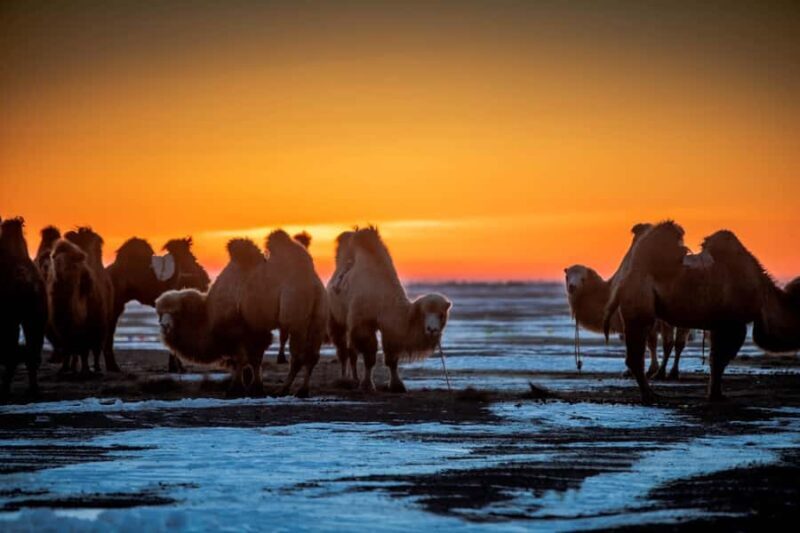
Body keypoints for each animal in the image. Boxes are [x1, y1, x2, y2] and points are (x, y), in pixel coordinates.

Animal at [105, 236, 210, 372]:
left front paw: (177, 367)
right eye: (192, 258)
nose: (206, 280)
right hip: (115, 307)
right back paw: (113, 367)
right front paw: (175, 368)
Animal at [156, 230, 327, 397]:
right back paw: (300, 390)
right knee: (312, 356)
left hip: (295, 316)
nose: (164, 325)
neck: (209, 313)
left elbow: (240, 359)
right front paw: (257, 389)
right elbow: (256, 359)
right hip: (317, 320)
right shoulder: (256, 329)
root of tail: (314, 284)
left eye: (176, 313)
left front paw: (234, 389)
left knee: (298, 356)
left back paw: (287, 390)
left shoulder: (236, 329)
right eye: (160, 313)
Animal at [327, 227, 452, 393]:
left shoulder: (389, 327)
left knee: (351, 352)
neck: (383, 297)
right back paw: (344, 379)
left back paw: (354, 379)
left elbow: (392, 359)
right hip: (336, 318)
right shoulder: (363, 323)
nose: (432, 329)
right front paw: (367, 385)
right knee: (343, 350)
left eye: (441, 315)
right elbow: (370, 357)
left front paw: (397, 385)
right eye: (424, 313)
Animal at [565, 223, 690, 380]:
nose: (572, 287)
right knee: (679, 343)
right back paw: (672, 372)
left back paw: (663, 373)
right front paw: (647, 370)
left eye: (583, 279)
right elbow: (648, 343)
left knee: (671, 342)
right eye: (567, 277)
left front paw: (637, 371)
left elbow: (645, 343)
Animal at [604, 221, 800, 403]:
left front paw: (714, 393)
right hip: (640, 306)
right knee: (635, 354)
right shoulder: (733, 323)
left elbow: (716, 360)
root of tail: (622, 281)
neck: (764, 295)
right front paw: (716, 395)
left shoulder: (719, 324)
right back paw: (650, 395)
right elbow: (721, 359)